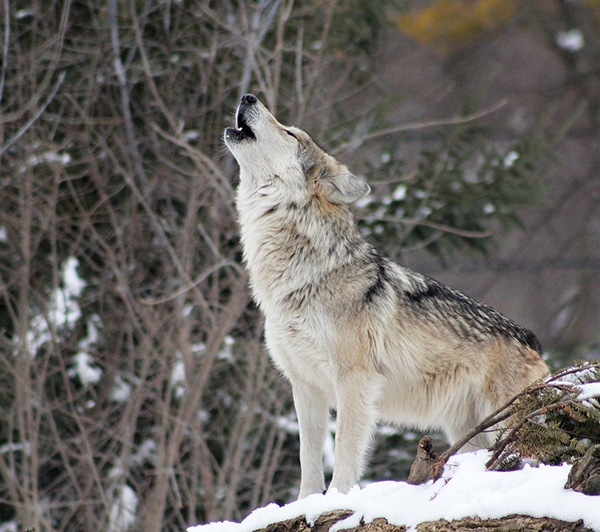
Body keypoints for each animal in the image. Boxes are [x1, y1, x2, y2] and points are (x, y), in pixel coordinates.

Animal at [224, 94, 548, 498]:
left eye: (290, 133)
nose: (247, 96)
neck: (303, 276)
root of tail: (532, 340)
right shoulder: (306, 386)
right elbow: (308, 460)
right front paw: (306, 503)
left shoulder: (354, 381)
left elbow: (345, 452)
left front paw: (337, 499)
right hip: (468, 433)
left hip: (504, 423)